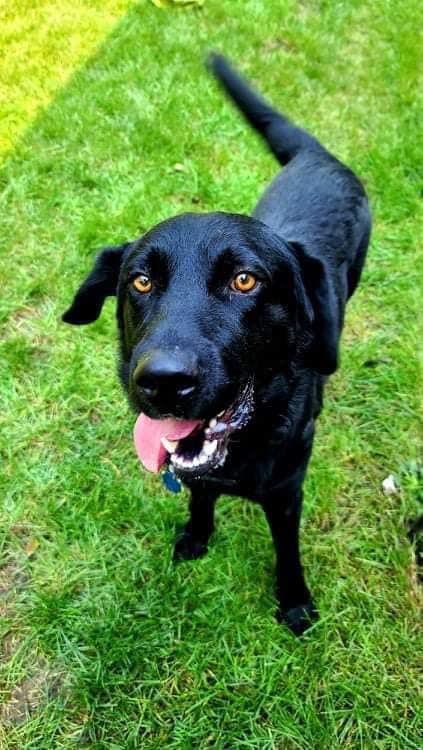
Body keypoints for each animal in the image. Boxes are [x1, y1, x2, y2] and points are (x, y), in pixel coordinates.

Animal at [63, 55, 372, 636]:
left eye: (245, 280)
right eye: (141, 282)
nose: (162, 382)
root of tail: (317, 155)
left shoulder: (287, 491)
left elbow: (287, 550)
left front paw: (294, 602)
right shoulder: (198, 473)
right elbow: (200, 496)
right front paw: (196, 536)